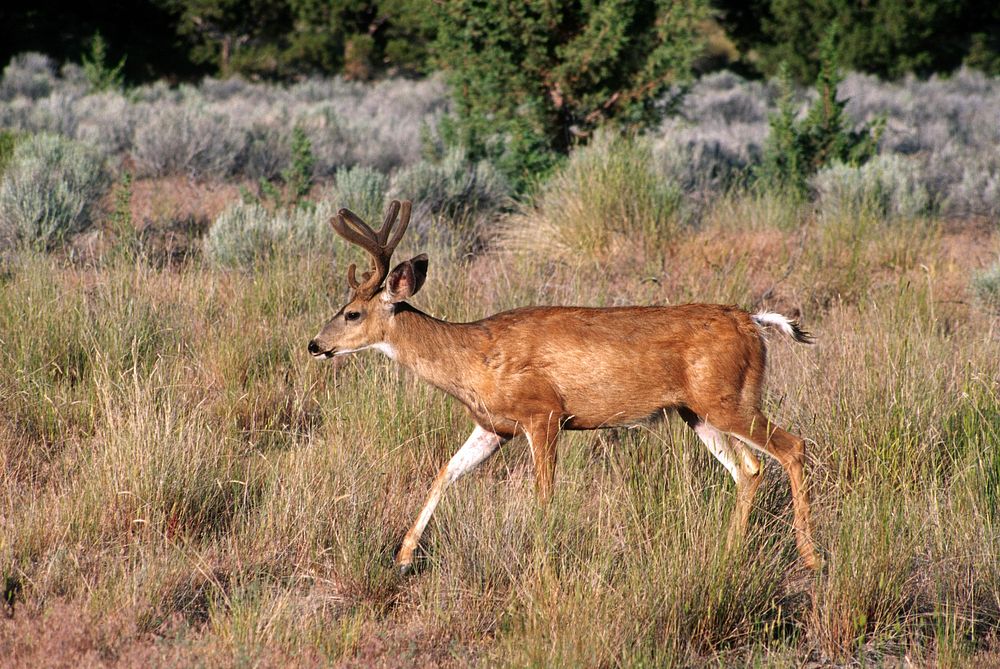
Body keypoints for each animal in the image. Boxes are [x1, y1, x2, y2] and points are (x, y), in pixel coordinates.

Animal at [306, 200, 820, 576]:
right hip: (698, 410)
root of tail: (753, 321)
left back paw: (811, 558)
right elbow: (445, 473)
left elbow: (543, 494)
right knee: (749, 468)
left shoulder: (544, 413)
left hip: (726, 397)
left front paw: (543, 563)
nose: (314, 344)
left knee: (793, 446)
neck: (472, 358)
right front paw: (402, 557)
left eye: (351, 313)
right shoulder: (493, 426)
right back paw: (730, 552)